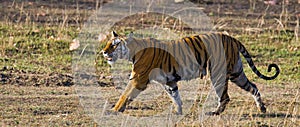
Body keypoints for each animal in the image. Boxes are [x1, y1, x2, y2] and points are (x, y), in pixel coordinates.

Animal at [99, 30, 280, 115]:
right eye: (108, 43)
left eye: (114, 45)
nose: (104, 52)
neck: (132, 52)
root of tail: (232, 38)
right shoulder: (169, 81)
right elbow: (175, 96)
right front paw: (178, 111)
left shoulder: (138, 79)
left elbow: (125, 95)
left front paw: (114, 110)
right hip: (237, 73)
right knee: (253, 87)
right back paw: (262, 108)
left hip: (218, 73)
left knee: (225, 97)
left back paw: (215, 112)